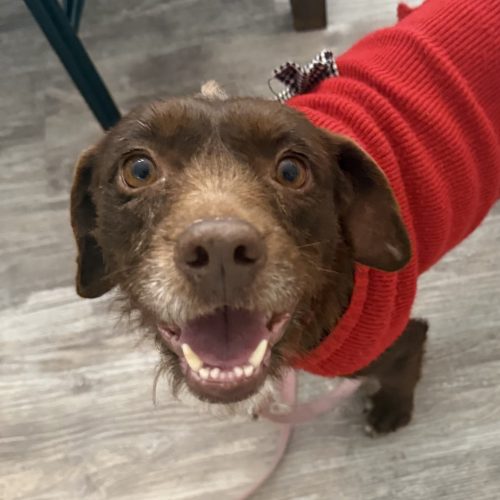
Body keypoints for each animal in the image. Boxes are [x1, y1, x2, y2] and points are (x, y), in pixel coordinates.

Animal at [70, 0, 500, 434]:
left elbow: (408, 359)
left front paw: (390, 412)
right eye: (139, 170)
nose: (220, 251)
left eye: (292, 171)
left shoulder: (391, 341)